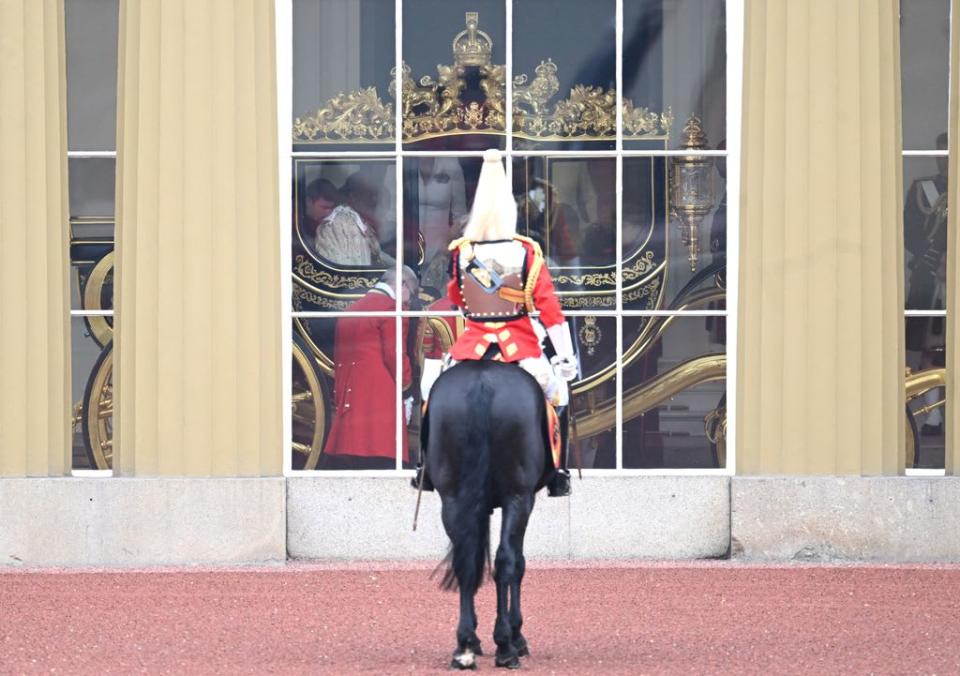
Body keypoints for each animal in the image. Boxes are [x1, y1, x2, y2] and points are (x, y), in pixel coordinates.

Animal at [422, 362, 552, 668]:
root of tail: (482, 382)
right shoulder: (521, 499)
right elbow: (518, 563)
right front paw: (515, 636)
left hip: (454, 499)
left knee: (464, 561)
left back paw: (464, 646)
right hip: (518, 497)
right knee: (506, 561)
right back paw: (505, 646)